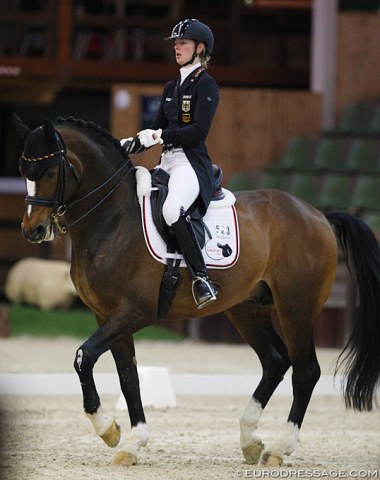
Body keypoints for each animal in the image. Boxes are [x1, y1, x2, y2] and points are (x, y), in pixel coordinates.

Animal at [13, 114, 378, 466]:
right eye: (22, 172)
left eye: (49, 171)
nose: (33, 230)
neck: (113, 219)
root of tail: (318, 214)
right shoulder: (106, 315)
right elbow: (128, 377)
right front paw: (132, 443)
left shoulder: (134, 312)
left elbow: (83, 357)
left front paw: (108, 430)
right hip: (247, 308)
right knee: (275, 360)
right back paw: (249, 440)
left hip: (296, 307)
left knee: (305, 371)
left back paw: (278, 448)